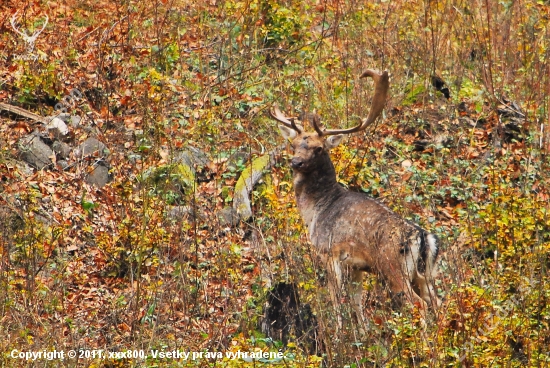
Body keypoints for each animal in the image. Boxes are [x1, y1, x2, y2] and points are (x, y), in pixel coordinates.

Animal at [272, 69, 444, 328]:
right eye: (293, 145)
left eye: (319, 148)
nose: (296, 162)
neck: (316, 211)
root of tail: (423, 238)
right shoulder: (356, 266)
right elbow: (357, 302)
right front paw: (361, 333)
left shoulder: (329, 252)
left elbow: (336, 300)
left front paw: (338, 332)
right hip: (425, 274)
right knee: (438, 302)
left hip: (393, 266)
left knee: (418, 304)